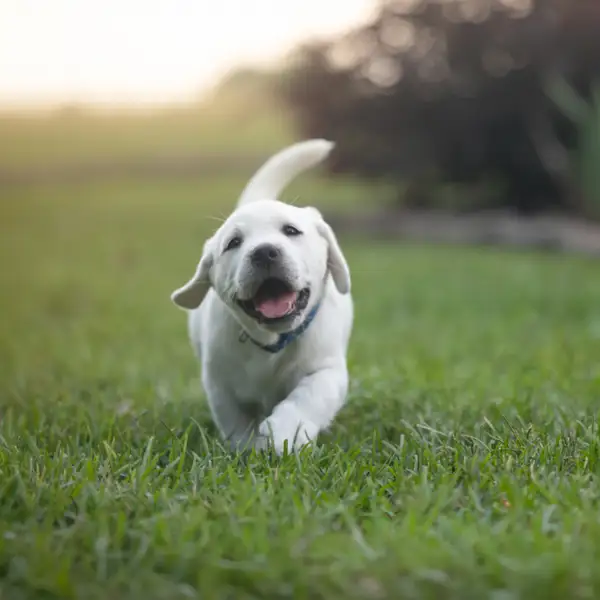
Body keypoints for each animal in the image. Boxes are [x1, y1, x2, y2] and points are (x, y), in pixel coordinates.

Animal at [171, 138, 354, 452]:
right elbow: (236, 422)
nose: (265, 252)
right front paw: (247, 449)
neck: (272, 342)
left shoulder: (326, 371)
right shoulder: (219, 384)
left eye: (291, 230)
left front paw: (285, 432)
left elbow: (307, 397)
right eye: (234, 243)